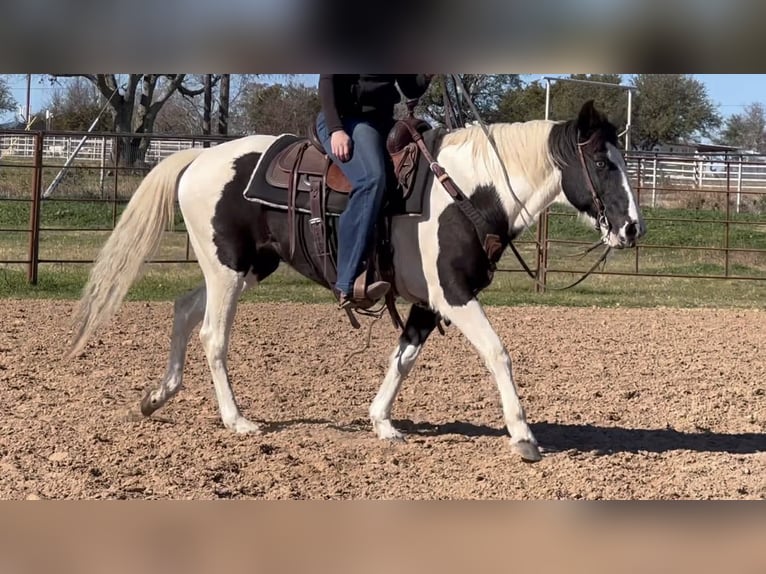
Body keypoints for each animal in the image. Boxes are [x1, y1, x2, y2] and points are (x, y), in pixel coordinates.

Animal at [67, 99, 645, 463]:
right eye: (602, 162)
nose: (633, 228)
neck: (468, 191)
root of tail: (200, 156)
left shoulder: (427, 304)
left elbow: (403, 358)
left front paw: (382, 422)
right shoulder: (454, 296)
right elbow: (497, 352)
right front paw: (523, 437)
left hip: (243, 267)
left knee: (185, 309)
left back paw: (157, 396)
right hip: (228, 269)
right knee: (213, 334)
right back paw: (236, 420)